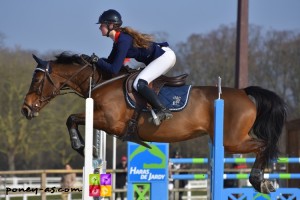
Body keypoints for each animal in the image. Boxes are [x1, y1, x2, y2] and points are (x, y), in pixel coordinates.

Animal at [21, 52, 286, 193]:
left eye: (36, 81)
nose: (26, 109)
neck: (102, 81)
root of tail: (244, 93)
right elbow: (73, 120)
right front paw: (90, 150)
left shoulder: (109, 122)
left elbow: (72, 118)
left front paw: (83, 148)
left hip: (232, 141)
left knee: (263, 146)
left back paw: (260, 182)